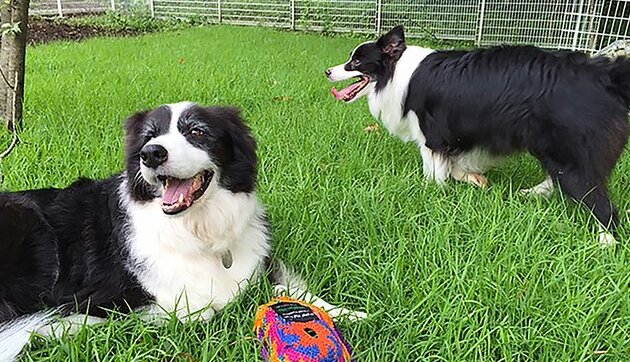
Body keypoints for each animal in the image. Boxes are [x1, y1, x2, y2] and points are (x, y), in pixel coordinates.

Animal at [1, 100, 366, 360]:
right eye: (149, 137)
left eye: (197, 132)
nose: (151, 154)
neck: (199, 230)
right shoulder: (99, 296)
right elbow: (207, 309)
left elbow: (287, 287)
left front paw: (348, 312)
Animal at [328, 25, 630, 246]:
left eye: (355, 62)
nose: (327, 71)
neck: (397, 70)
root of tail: (604, 73)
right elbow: (456, 165)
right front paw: (472, 179)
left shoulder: (433, 136)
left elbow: (434, 172)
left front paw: (431, 194)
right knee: (558, 177)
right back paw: (532, 193)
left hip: (571, 153)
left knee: (601, 203)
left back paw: (606, 241)